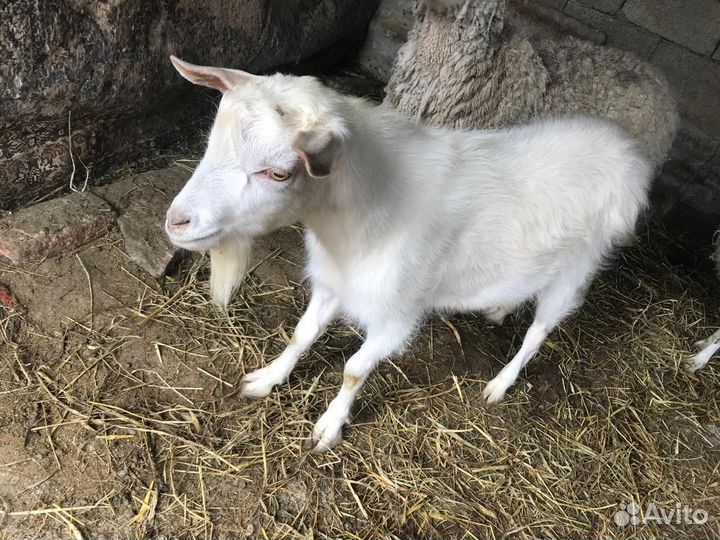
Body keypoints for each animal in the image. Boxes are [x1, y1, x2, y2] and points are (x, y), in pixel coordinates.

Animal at [166, 56, 652, 452]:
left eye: (279, 173)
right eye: (212, 142)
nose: (176, 222)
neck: (366, 212)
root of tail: (629, 154)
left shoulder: (397, 315)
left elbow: (354, 370)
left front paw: (328, 427)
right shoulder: (335, 281)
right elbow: (301, 335)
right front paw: (266, 380)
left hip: (576, 270)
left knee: (539, 332)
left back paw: (500, 383)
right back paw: (498, 308)